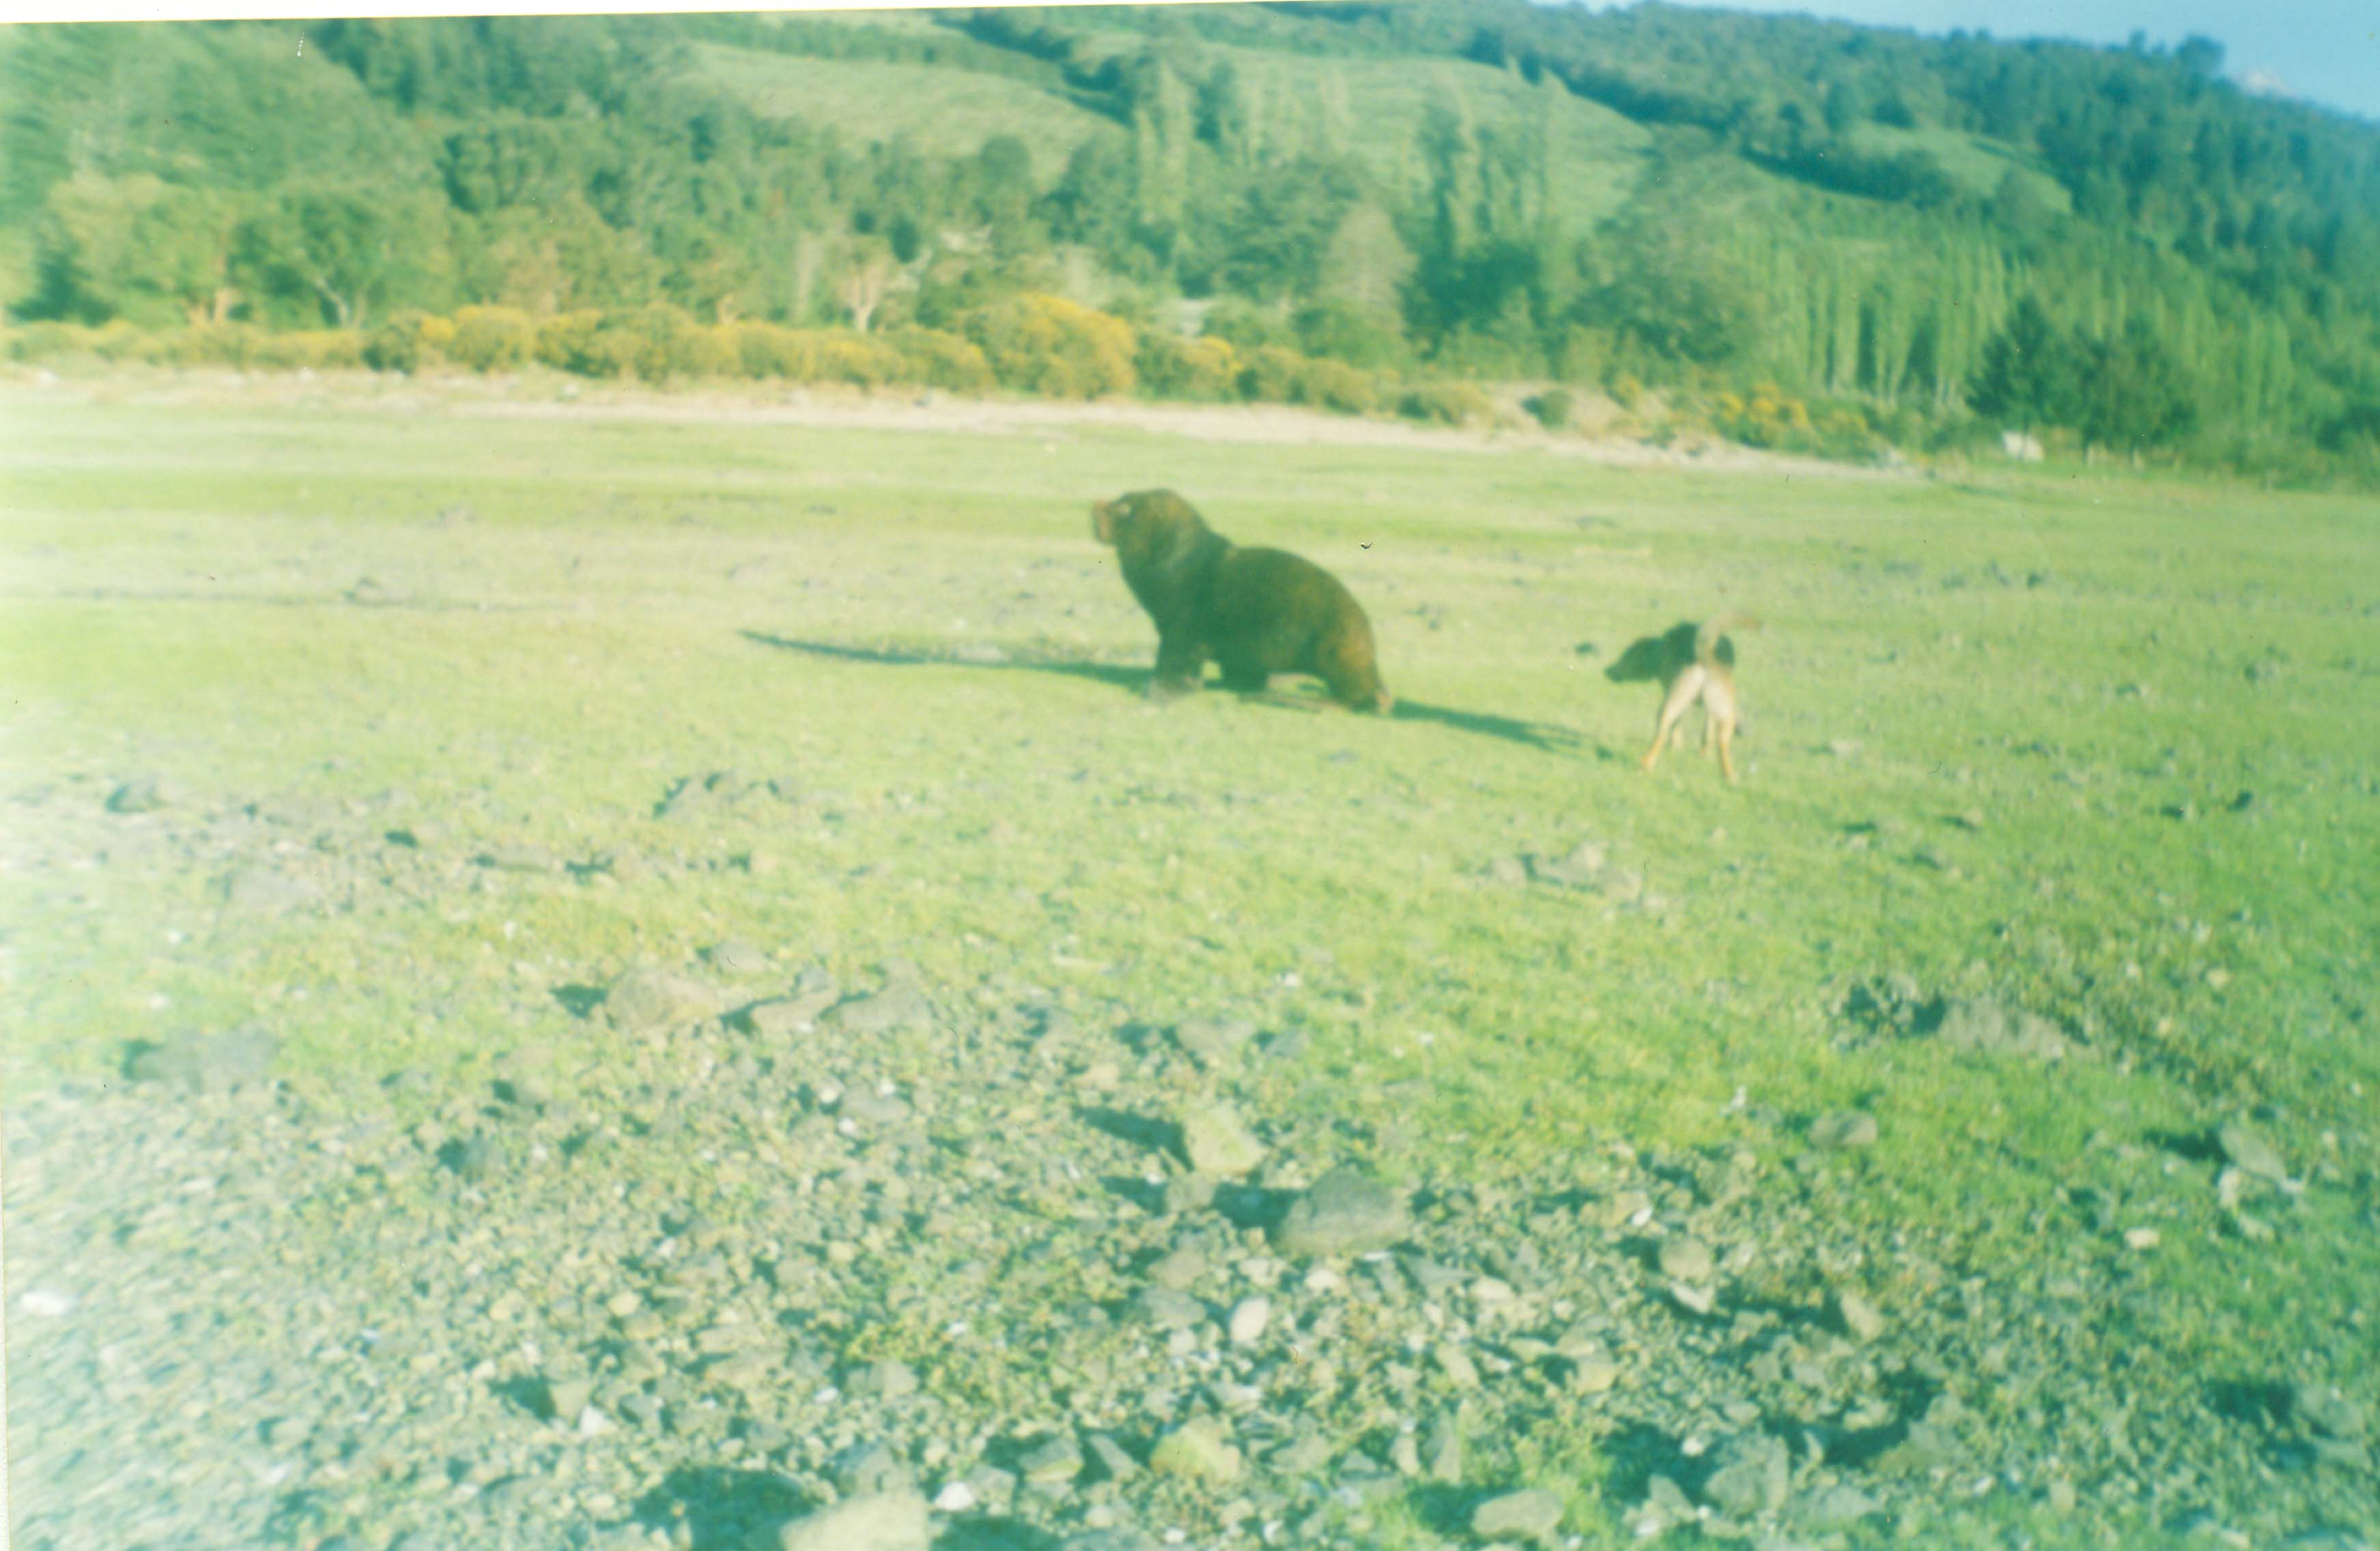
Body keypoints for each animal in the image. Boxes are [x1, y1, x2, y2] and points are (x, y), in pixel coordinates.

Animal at [1094, 485, 1389, 713]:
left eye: (1125, 509)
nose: (1095, 505)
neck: (1173, 561)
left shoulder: (1183, 624)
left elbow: (1176, 660)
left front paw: (1159, 690)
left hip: (1338, 650)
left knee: (1357, 698)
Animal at [1609, 614, 1761, 780]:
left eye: (1626, 655)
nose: (1607, 671)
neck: (1661, 650)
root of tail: (1705, 655)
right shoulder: (1708, 710)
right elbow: (1707, 733)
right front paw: (1704, 755)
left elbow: (1678, 726)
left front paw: (1677, 747)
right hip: (1724, 709)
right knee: (1722, 741)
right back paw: (1730, 776)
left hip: (1674, 700)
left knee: (1662, 732)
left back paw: (1646, 765)